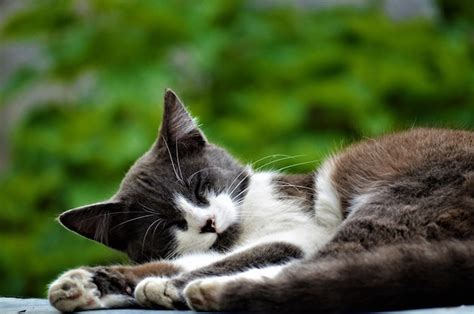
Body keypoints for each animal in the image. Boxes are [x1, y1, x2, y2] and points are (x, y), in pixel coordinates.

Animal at [46, 88, 472, 312]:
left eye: (199, 186)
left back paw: (206, 291)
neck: (244, 224)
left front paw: (165, 285)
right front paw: (82, 284)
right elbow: (192, 257)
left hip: (411, 192)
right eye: (169, 224)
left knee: (340, 261)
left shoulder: (301, 226)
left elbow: (252, 253)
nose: (207, 223)